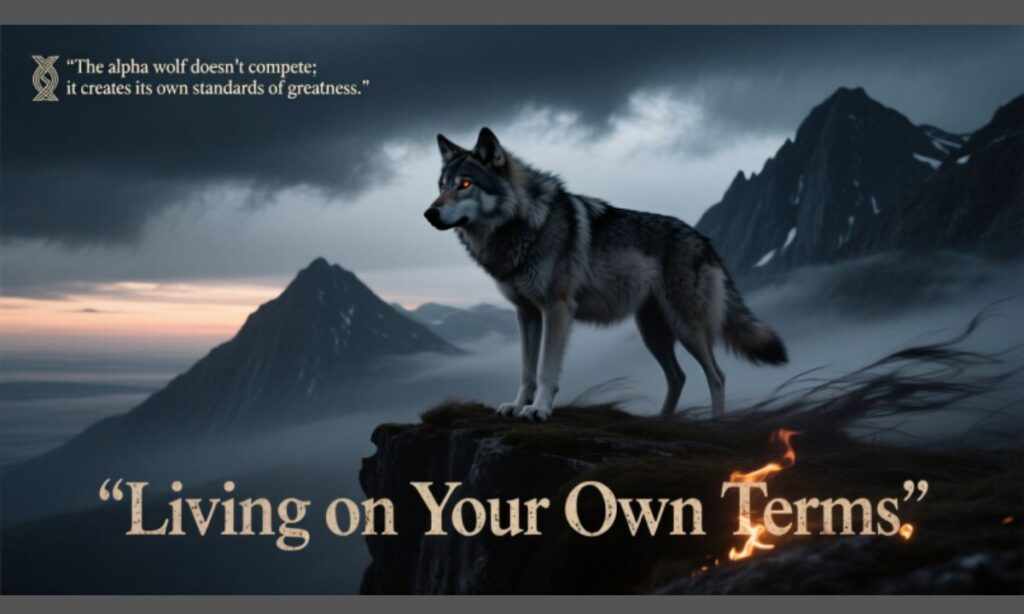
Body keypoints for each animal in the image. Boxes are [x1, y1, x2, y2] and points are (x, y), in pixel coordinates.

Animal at [425, 128, 787, 421]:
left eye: (466, 184)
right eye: (441, 186)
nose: (429, 213)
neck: (523, 224)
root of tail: (705, 241)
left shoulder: (557, 309)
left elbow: (545, 370)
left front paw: (538, 410)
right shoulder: (525, 313)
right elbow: (526, 370)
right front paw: (517, 406)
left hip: (686, 328)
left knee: (717, 376)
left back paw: (713, 423)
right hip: (653, 332)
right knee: (678, 376)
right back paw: (661, 419)